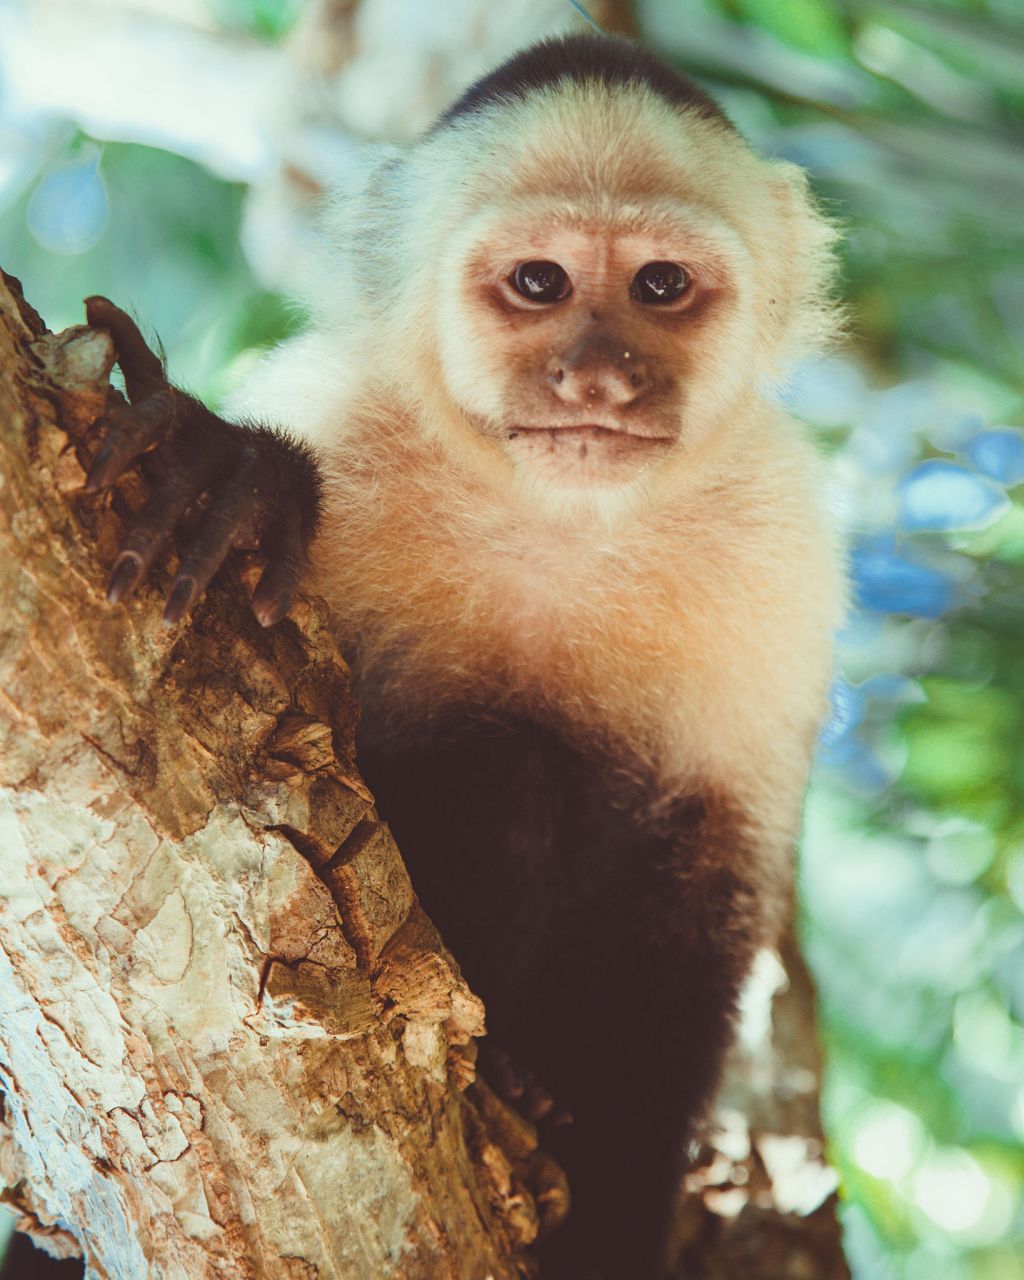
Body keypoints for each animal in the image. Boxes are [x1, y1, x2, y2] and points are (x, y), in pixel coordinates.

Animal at [80, 30, 844, 1280]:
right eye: (540, 283)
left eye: (659, 285)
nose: (598, 379)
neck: (557, 514)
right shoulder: (339, 408)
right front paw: (236, 476)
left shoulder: (783, 552)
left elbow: (698, 901)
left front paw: (610, 1219)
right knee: (502, 768)